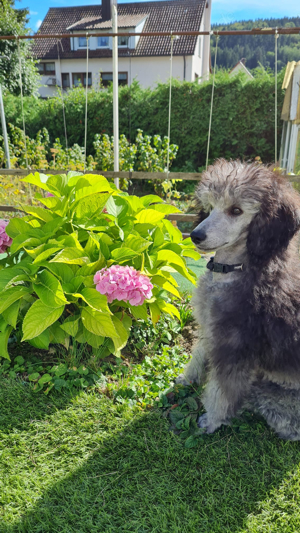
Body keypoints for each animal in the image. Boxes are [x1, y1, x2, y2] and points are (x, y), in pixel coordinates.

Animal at [176, 158, 300, 440]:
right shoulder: (210, 328)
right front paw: (187, 380)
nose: (196, 236)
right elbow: (198, 355)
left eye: (236, 210)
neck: (236, 270)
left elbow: (222, 389)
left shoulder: (235, 346)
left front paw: (212, 420)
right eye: (210, 206)